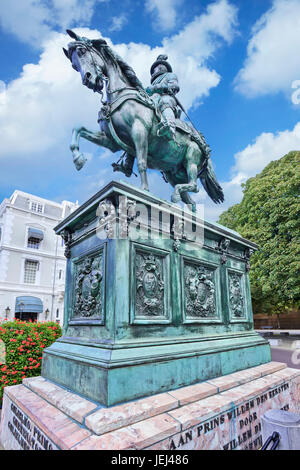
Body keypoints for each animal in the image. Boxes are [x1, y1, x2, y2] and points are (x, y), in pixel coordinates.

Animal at [63, 29, 224, 211]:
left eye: (82, 51)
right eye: (74, 65)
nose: (89, 80)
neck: (120, 95)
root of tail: (202, 141)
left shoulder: (139, 132)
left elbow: (141, 162)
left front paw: (144, 190)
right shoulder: (110, 141)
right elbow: (78, 129)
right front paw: (78, 159)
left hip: (191, 158)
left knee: (194, 186)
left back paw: (176, 195)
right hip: (174, 173)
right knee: (191, 200)